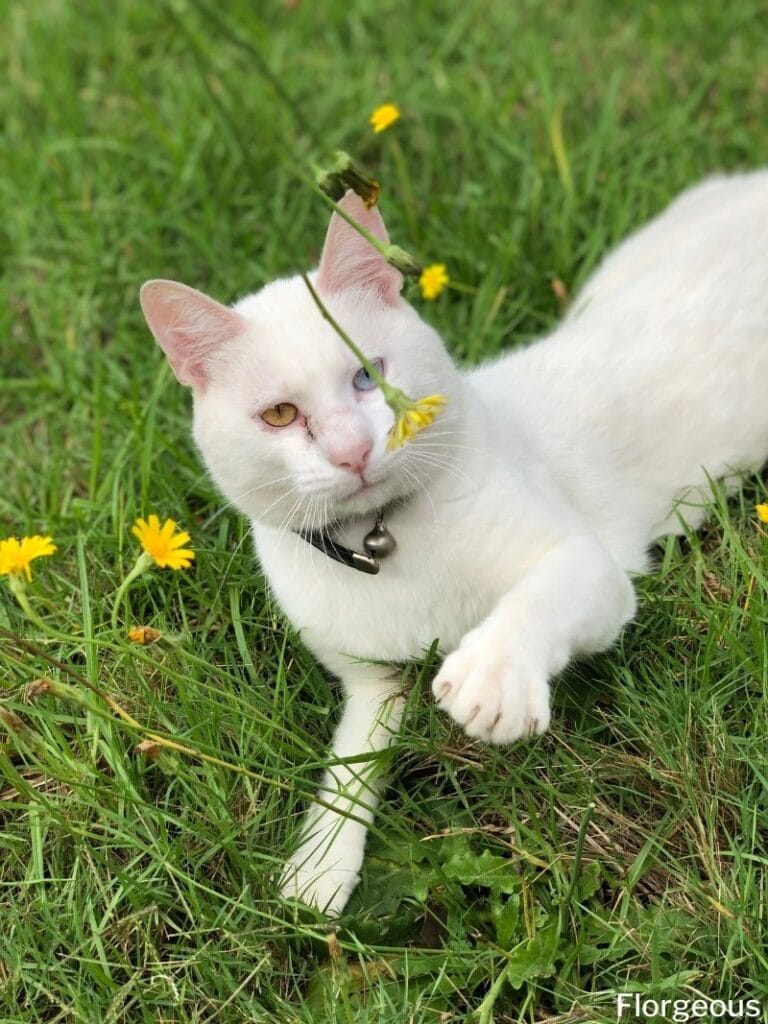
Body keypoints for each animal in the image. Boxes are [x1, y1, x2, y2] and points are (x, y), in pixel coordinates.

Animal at [141, 172, 768, 917]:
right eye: (280, 415)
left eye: (368, 374)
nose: (353, 452)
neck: (384, 539)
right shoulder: (371, 682)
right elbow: (351, 764)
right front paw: (321, 862)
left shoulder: (590, 564)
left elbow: (536, 600)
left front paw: (492, 676)